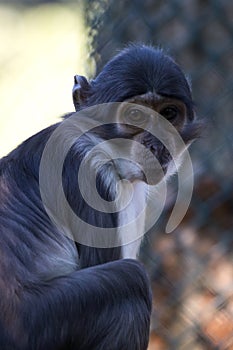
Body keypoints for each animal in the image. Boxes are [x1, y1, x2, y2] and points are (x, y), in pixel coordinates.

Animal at [0, 44, 200, 350]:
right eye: (136, 116)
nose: (157, 144)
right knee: (130, 279)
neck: (99, 143)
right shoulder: (89, 174)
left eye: (168, 114)